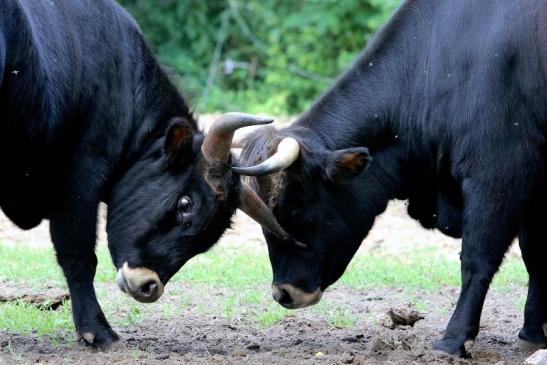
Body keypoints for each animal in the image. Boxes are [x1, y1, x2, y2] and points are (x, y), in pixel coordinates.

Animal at [0, 0, 292, 348]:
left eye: (211, 237)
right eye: (185, 204)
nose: (148, 286)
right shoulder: (78, 178)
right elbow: (78, 254)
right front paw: (96, 330)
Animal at [240, 0, 547, 358]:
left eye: (294, 211)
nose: (284, 293)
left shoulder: (498, 173)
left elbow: (477, 258)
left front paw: (454, 339)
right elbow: (534, 255)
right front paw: (532, 332)